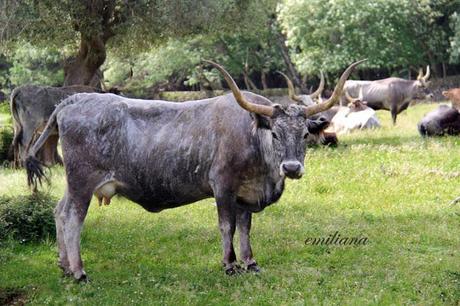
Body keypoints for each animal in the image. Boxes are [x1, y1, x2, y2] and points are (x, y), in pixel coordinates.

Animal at [26, 59, 362, 280]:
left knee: (59, 212)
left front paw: (250, 262)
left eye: (304, 134)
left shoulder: (246, 193)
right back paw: (79, 271)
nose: (291, 167)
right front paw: (230, 265)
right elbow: (227, 226)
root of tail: (74, 99)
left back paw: (64, 265)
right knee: (73, 219)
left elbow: (245, 227)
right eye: (276, 134)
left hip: (74, 184)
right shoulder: (223, 186)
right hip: (82, 181)